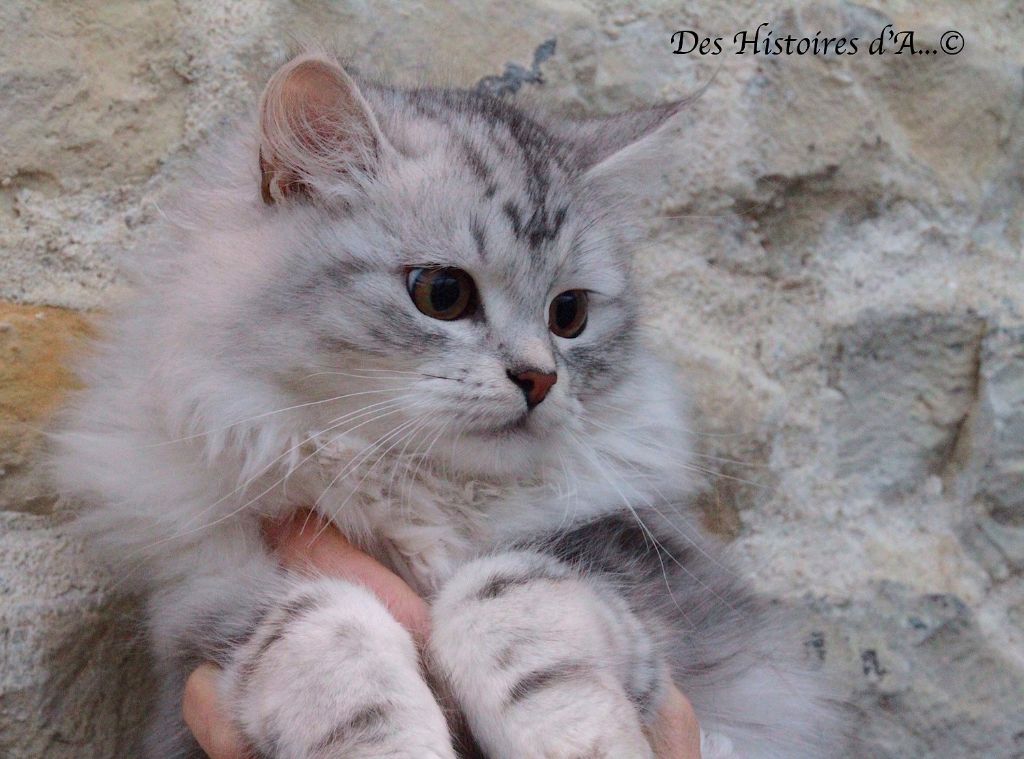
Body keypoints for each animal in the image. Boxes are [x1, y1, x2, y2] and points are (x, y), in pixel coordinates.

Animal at [51, 50, 843, 753]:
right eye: (442, 293)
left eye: (570, 314)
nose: (539, 380)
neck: (421, 491)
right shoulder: (203, 590)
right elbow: (325, 631)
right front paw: (385, 740)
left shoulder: (645, 558)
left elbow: (503, 593)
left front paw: (578, 737)